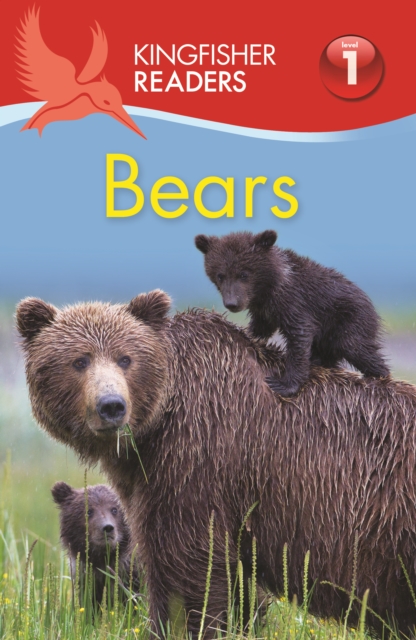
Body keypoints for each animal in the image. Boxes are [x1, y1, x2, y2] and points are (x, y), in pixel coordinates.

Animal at [16, 291, 416, 637]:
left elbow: (189, 570)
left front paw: (180, 624)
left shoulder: (199, 460)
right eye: (79, 360)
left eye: (125, 358)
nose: (112, 406)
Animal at [195, 230, 390, 396]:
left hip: (348, 320)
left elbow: (299, 336)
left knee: (356, 347)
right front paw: (244, 332)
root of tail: (371, 304)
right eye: (220, 275)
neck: (268, 288)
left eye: (244, 274)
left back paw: (378, 376)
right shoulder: (264, 310)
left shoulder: (295, 302)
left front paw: (283, 384)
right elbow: (260, 329)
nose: (232, 303)